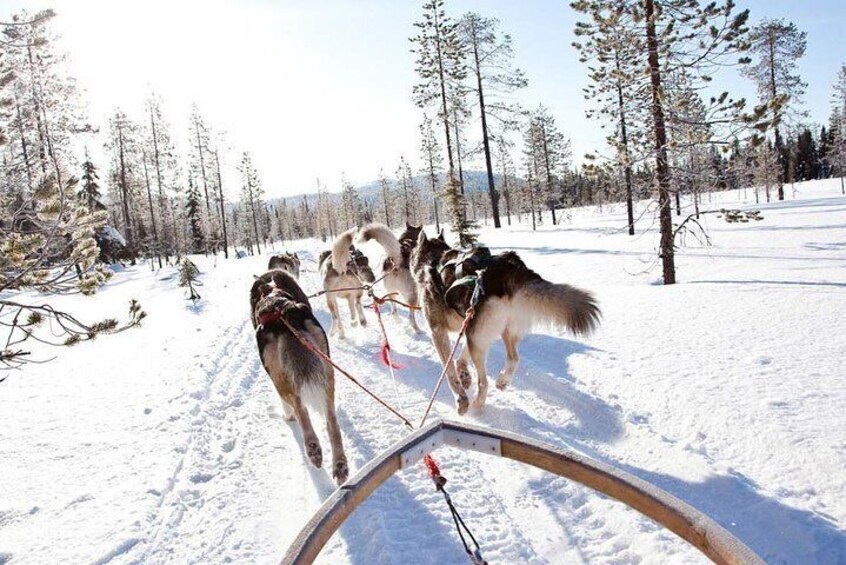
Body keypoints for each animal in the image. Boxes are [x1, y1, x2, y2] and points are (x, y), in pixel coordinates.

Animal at [250, 266, 350, 482]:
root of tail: (283, 314)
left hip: (281, 379)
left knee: (298, 404)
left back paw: (312, 448)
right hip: (327, 368)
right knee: (331, 421)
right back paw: (340, 465)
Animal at [412, 229, 604, 414]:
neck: (434, 259)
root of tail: (511, 268)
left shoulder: (439, 331)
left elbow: (450, 371)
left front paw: (461, 398)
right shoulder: (466, 324)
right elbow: (461, 359)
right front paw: (464, 374)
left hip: (477, 337)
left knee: (484, 382)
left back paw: (477, 404)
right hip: (498, 330)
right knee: (514, 358)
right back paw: (502, 381)